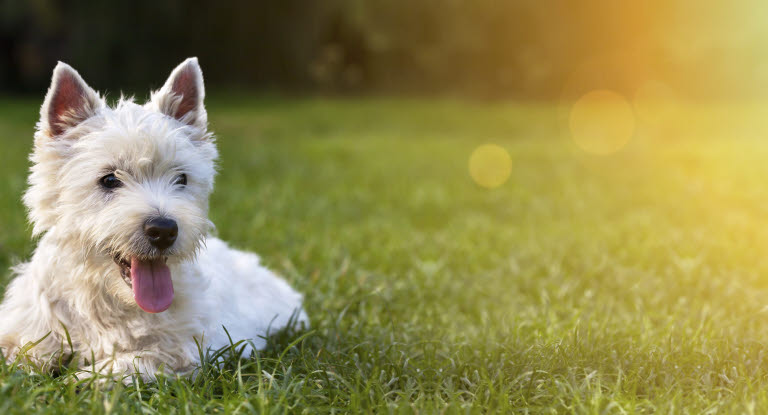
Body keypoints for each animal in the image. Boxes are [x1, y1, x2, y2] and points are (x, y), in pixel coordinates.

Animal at [0, 57, 308, 380]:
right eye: (109, 179)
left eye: (181, 178)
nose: (163, 230)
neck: (109, 301)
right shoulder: (25, 329)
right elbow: (21, 352)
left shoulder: (187, 351)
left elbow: (130, 361)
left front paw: (81, 379)